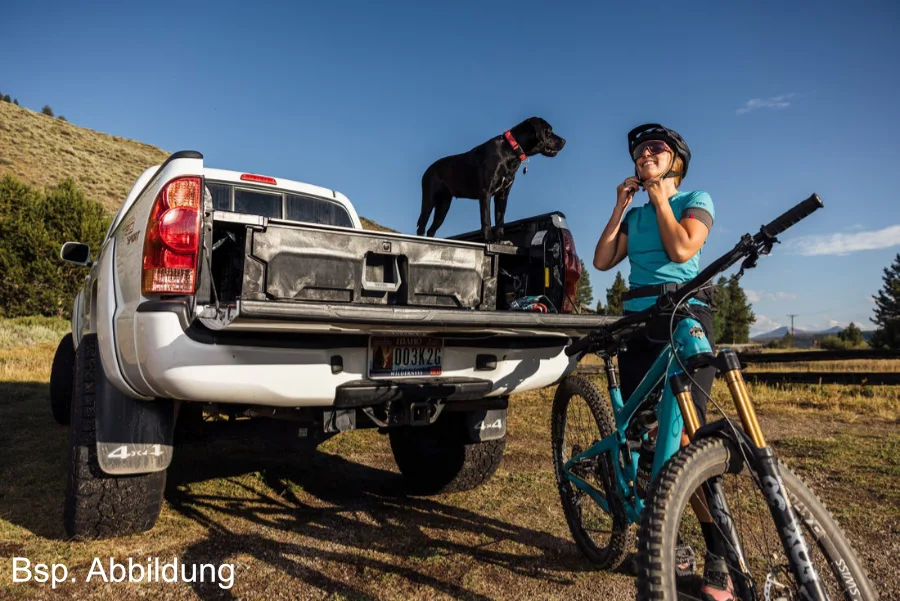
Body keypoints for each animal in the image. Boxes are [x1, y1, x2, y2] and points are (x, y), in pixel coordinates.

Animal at [418, 116, 568, 240]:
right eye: (549, 131)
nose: (564, 140)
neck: (510, 150)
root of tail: (427, 170)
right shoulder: (486, 192)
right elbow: (487, 220)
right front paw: (488, 239)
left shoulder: (502, 195)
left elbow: (500, 220)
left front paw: (500, 240)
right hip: (429, 201)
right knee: (421, 226)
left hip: (443, 206)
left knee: (431, 230)